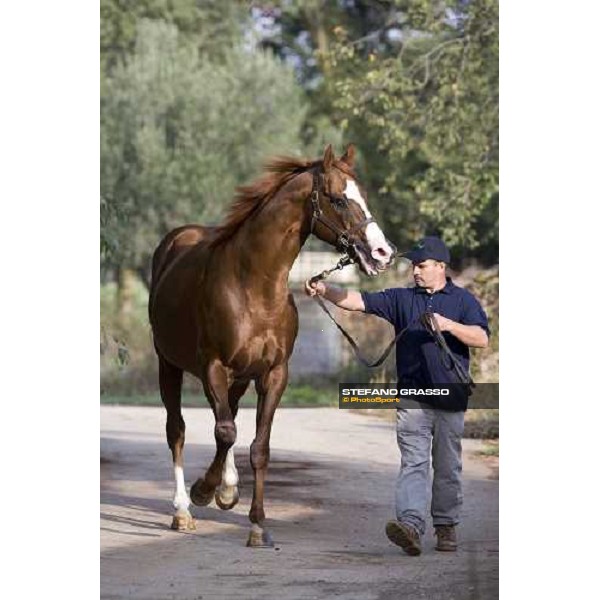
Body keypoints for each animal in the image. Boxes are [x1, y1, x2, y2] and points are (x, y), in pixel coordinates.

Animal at [148, 143, 396, 548]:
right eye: (337, 199)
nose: (381, 253)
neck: (254, 285)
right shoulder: (213, 366)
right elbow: (225, 432)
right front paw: (204, 491)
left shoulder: (274, 374)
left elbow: (257, 447)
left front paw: (256, 524)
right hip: (169, 364)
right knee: (179, 430)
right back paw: (183, 510)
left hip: (237, 377)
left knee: (227, 416)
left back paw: (227, 488)